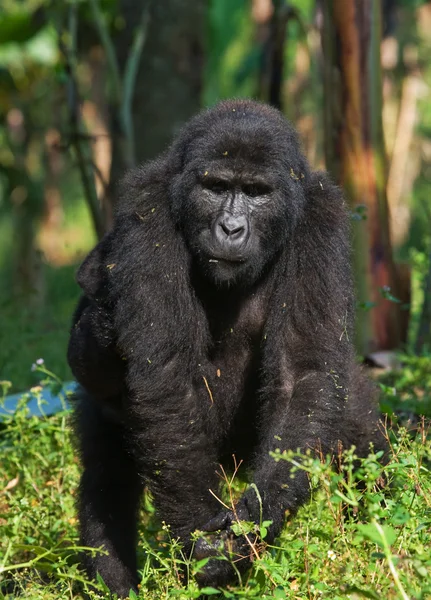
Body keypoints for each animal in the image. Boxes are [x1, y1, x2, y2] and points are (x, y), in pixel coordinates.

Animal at [69, 97, 386, 596]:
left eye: (256, 192)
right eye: (216, 187)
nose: (232, 227)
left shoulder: (321, 216)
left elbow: (304, 372)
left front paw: (252, 525)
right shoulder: (147, 210)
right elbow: (165, 379)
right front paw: (206, 546)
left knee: (356, 423)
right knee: (106, 471)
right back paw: (114, 583)